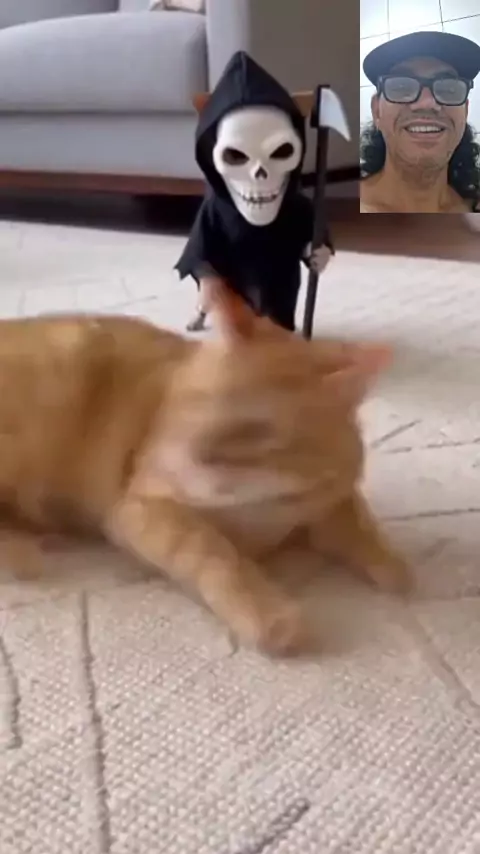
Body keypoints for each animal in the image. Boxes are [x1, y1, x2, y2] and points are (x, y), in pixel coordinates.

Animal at [0, 281, 410, 655]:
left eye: (252, 436)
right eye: (191, 410)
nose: (187, 463)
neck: (261, 516)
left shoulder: (330, 494)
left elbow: (353, 517)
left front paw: (392, 566)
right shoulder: (138, 508)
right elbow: (214, 551)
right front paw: (269, 614)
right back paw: (24, 551)